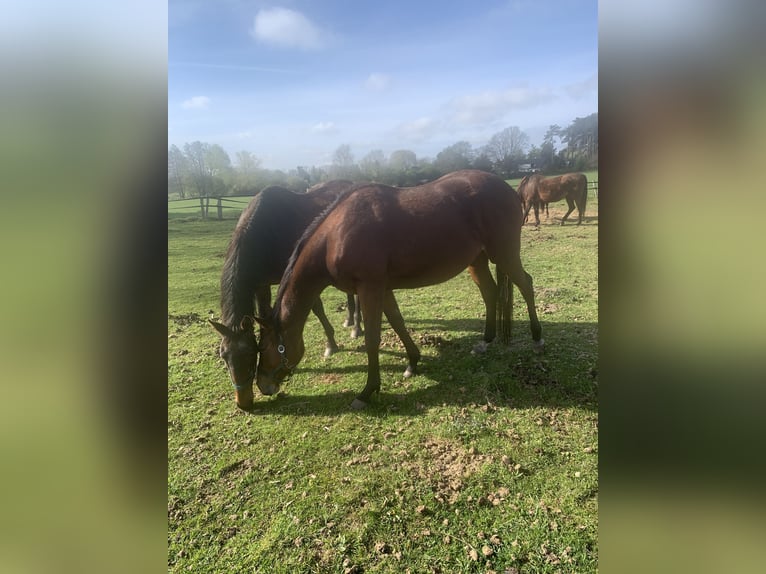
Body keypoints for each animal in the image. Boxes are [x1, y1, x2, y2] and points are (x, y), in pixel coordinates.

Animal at [210, 180, 359, 409]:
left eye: (251, 353)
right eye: (224, 356)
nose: (243, 403)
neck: (265, 232)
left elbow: (316, 308)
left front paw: (331, 345)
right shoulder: (261, 285)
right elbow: (265, 313)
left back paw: (357, 327)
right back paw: (349, 320)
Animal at [255, 170, 544, 410]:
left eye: (267, 347)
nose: (262, 385)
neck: (337, 235)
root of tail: (507, 189)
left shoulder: (370, 288)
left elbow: (372, 339)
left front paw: (367, 392)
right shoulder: (382, 288)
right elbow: (397, 322)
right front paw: (412, 362)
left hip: (504, 253)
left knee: (526, 285)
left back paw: (537, 337)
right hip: (478, 260)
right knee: (490, 292)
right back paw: (485, 341)